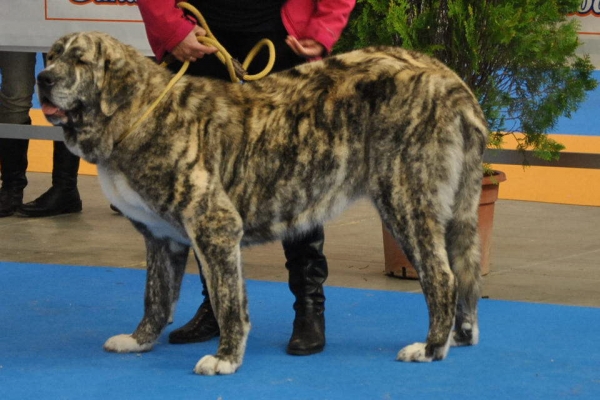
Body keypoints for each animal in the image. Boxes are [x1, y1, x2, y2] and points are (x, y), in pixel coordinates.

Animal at [37, 31, 488, 376]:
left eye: (79, 60)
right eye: (51, 55)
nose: (42, 78)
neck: (137, 111)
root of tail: (448, 77)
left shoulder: (216, 226)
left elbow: (228, 301)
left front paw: (225, 359)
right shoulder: (163, 239)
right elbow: (156, 296)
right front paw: (140, 340)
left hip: (404, 198)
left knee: (442, 277)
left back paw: (431, 348)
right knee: (464, 271)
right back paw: (459, 336)